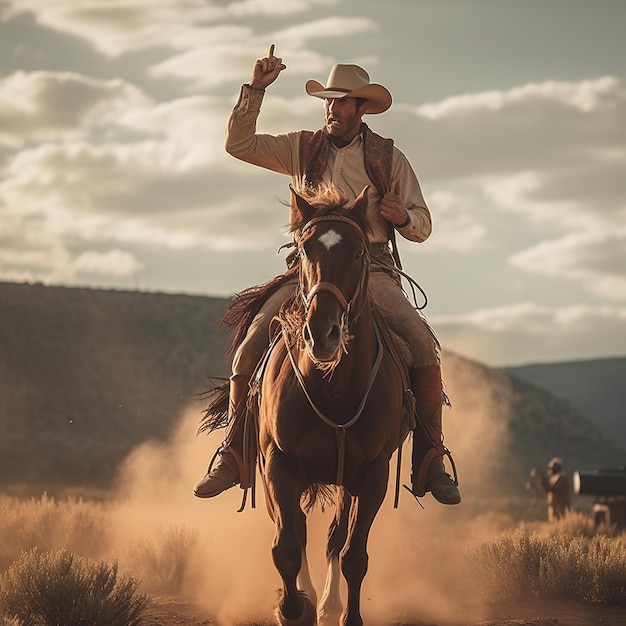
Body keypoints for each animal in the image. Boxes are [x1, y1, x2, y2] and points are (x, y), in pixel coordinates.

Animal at [254, 182, 410, 624]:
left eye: (358, 252)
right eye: (306, 249)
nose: (322, 333)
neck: (334, 389)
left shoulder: (372, 474)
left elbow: (353, 553)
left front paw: (342, 614)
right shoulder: (279, 465)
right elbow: (287, 547)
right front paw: (292, 608)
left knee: (333, 538)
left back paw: (328, 602)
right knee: (299, 531)